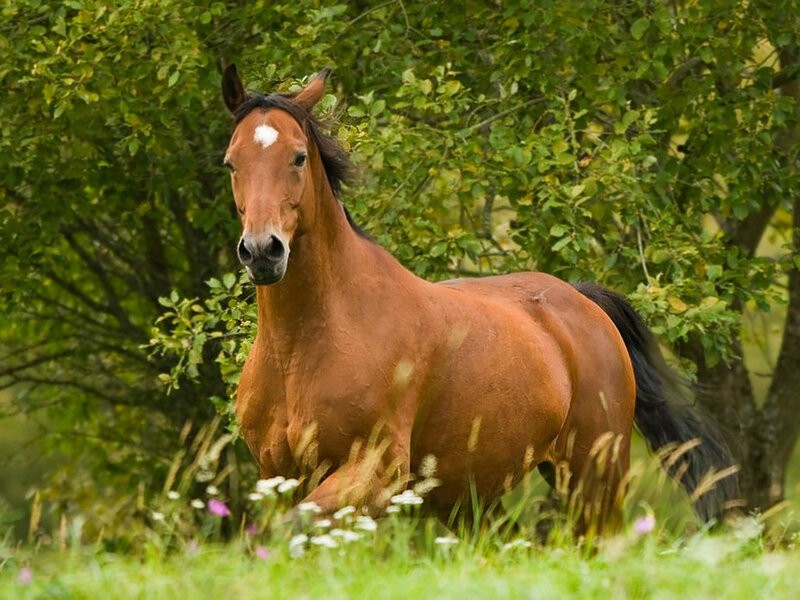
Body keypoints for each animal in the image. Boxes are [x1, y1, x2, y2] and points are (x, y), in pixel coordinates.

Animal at [220, 65, 739, 534]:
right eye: (231, 162)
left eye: (298, 157)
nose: (263, 251)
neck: (303, 349)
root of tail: (585, 304)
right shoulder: (277, 474)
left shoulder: (377, 471)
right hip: (466, 497)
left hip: (593, 476)